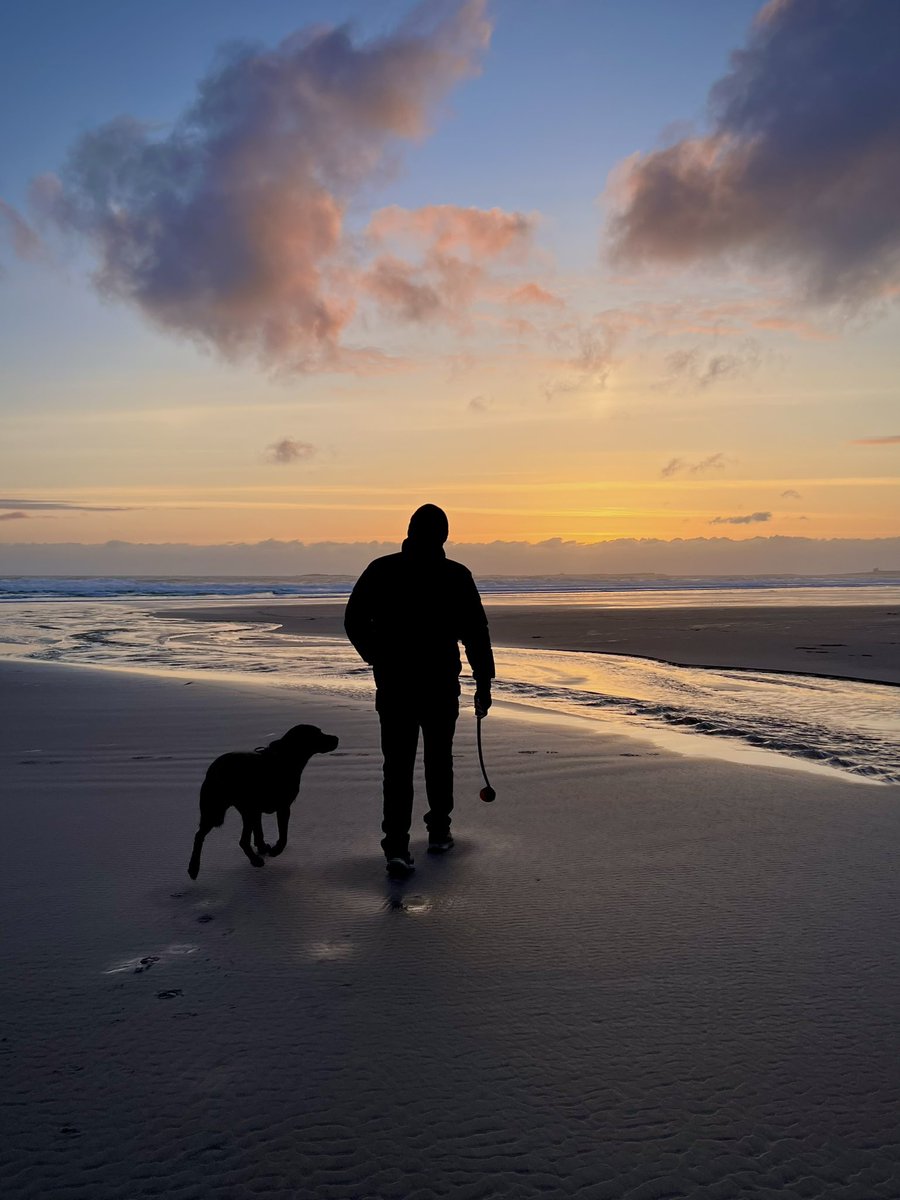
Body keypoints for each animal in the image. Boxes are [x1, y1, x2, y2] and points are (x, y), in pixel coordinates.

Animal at [187, 720, 338, 883]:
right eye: (318, 734)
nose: (336, 738)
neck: (286, 758)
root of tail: (214, 770)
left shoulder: (256, 809)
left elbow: (259, 832)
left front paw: (262, 847)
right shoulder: (283, 807)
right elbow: (283, 836)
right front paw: (276, 850)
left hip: (234, 809)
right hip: (217, 810)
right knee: (229, 839)